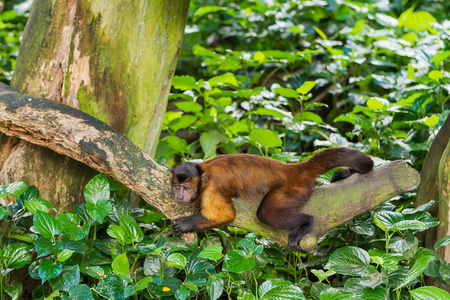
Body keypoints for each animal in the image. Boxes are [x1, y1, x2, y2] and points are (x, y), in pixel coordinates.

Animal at [172, 146, 372, 250]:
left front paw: (186, 224)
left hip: (292, 190)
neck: (203, 173)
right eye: (176, 187)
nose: (179, 195)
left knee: (266, 214)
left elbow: (226, 216)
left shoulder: (212, 190)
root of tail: (292, 169)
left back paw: (307, 222)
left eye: (187, 188)